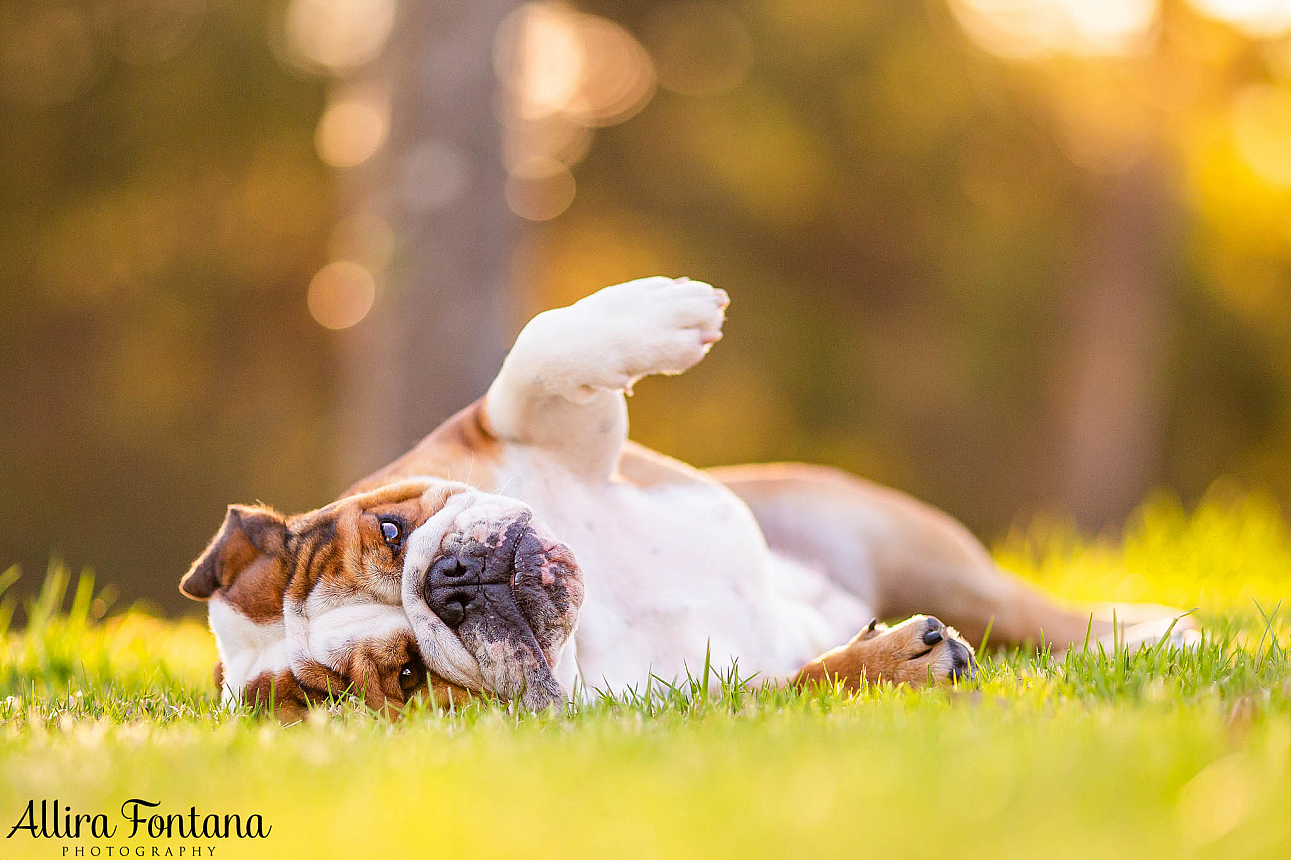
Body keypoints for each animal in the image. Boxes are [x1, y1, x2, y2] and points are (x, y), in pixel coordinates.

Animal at [176, 277, 1192, 712]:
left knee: (1030, 611)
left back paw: (1149, 630)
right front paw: (891, 664)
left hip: (910, 542)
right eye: (412, 680)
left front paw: (661, 312)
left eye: (391, 530)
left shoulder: (510, 436)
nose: (453, 584)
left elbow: (534, 360)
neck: (591, 624)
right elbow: (804, 682)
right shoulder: (689, 711)